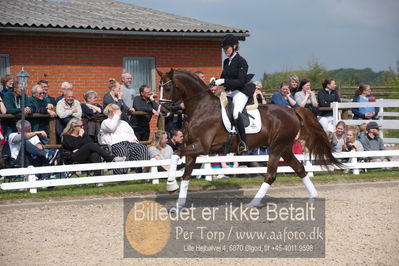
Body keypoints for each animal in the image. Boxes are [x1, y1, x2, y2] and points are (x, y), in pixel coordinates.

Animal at [158, 68, 342, 208]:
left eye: (168, 88)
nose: (162, 112)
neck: (201, 108)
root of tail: (292, 111)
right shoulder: (193, 149)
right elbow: (186, 174)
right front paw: (178, 204)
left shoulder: (201, 147)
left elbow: (175, 154)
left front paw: (170, 185)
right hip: (284, 148)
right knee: (299, 169)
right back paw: (313, 197)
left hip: (276, 148)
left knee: (271, 175)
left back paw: (253, 204)